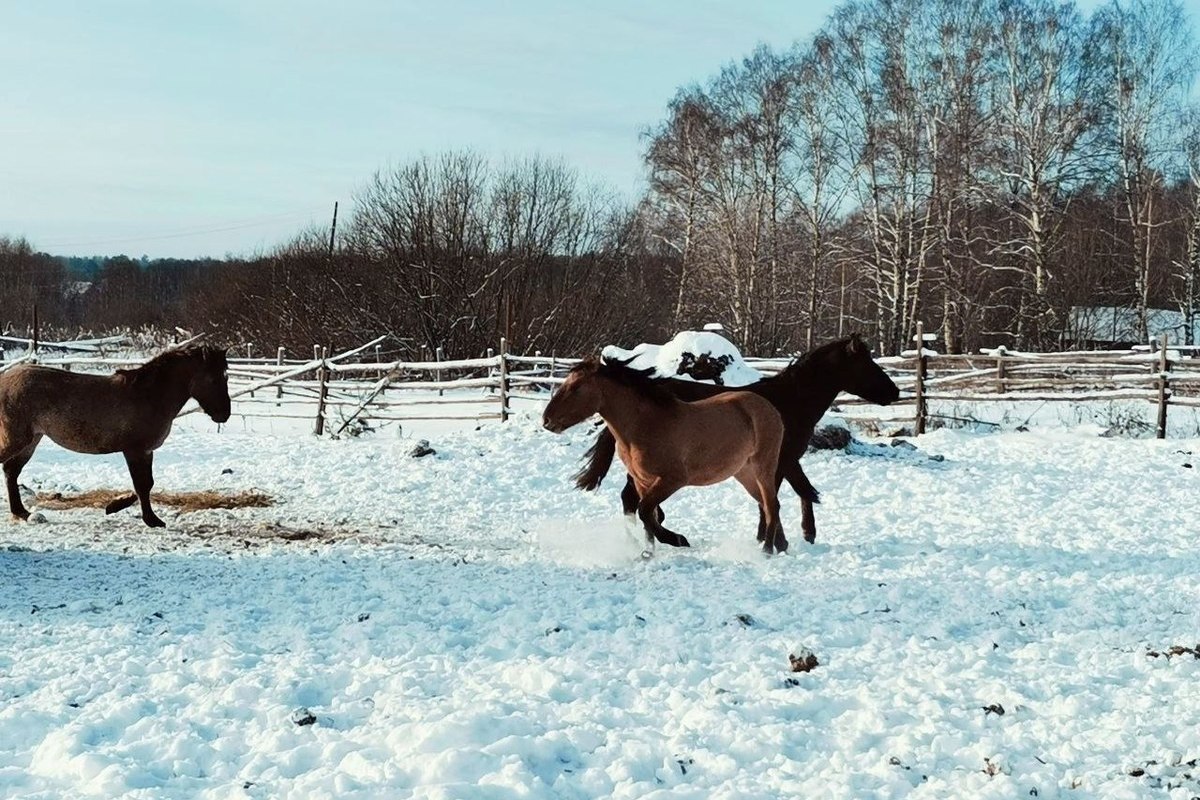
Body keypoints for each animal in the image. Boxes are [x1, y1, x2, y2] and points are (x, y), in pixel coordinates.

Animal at [0, 347, 230, 527]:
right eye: (214, 378)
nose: (224, 414)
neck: (150, 396)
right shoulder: (135, 451)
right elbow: (142, 485)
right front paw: (151, 520)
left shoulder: (146, 451)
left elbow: (146, 483)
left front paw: (115, 506)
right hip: (18, 440)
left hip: (32, 440)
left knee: (12, 471)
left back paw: (22, 512)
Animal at [542, 357, 787, 554]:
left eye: (576, 387)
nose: (546, 420)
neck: (645, 425)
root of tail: (771, 410)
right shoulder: (642, 481)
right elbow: (649, 516)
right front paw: (649, 551)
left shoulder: (673, 480)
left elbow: (645, 512)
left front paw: (673, 541)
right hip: (744, 473)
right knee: (767, 505)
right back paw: (780, 546)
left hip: (763, 467)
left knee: (771, 505)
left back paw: (766, 551)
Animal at [571, 333, 902, 551]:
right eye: (867, 363)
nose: (895, 392)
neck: (789, 402)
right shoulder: (780, 461)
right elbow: (779, 497)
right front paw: (777, 540)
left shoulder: (786, 460)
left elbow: (801, 491)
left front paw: (799, 535)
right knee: (632, 499)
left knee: (632, 499)